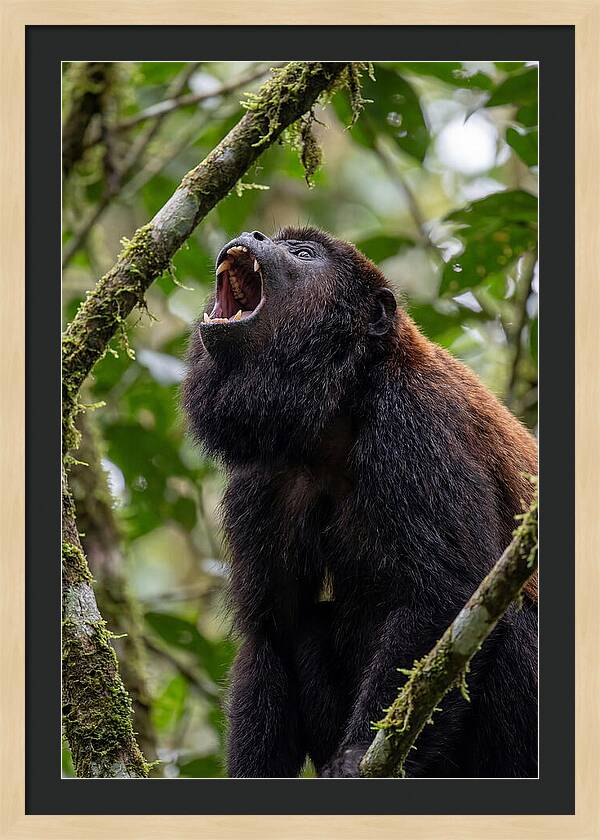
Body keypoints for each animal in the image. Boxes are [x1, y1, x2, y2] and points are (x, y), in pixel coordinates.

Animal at [182, 227, 538, 778]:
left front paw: (353, 757)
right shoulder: (263, 477)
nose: (253, 234)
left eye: (303, 254)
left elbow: (446, 594)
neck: (341, 406)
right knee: (306, 626)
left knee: (513, 619)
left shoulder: (414, 423)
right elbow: (272, 631)